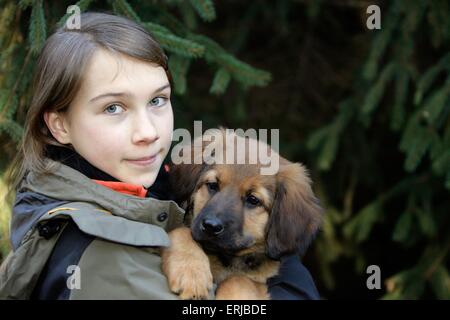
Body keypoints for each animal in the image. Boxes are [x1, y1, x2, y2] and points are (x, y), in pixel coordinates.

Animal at [160, 129, 322, 298]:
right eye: (212, 185)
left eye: (253, 199)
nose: (211, 226)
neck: (225, 259)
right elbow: (181, 232)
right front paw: (191, 273)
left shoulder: (258, 280)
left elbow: (239, 280)